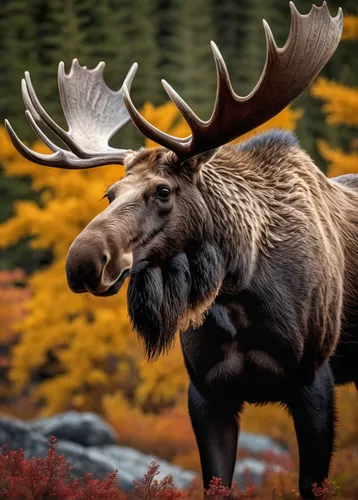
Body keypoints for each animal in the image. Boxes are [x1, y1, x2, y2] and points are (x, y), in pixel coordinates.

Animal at [4, 1, 356, 498]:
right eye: (110, 194)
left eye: (164, 191)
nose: (82, 262)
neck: (239, 295)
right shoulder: (206, 392)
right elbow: (216, 483)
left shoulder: (315, 380)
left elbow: (313, 483)